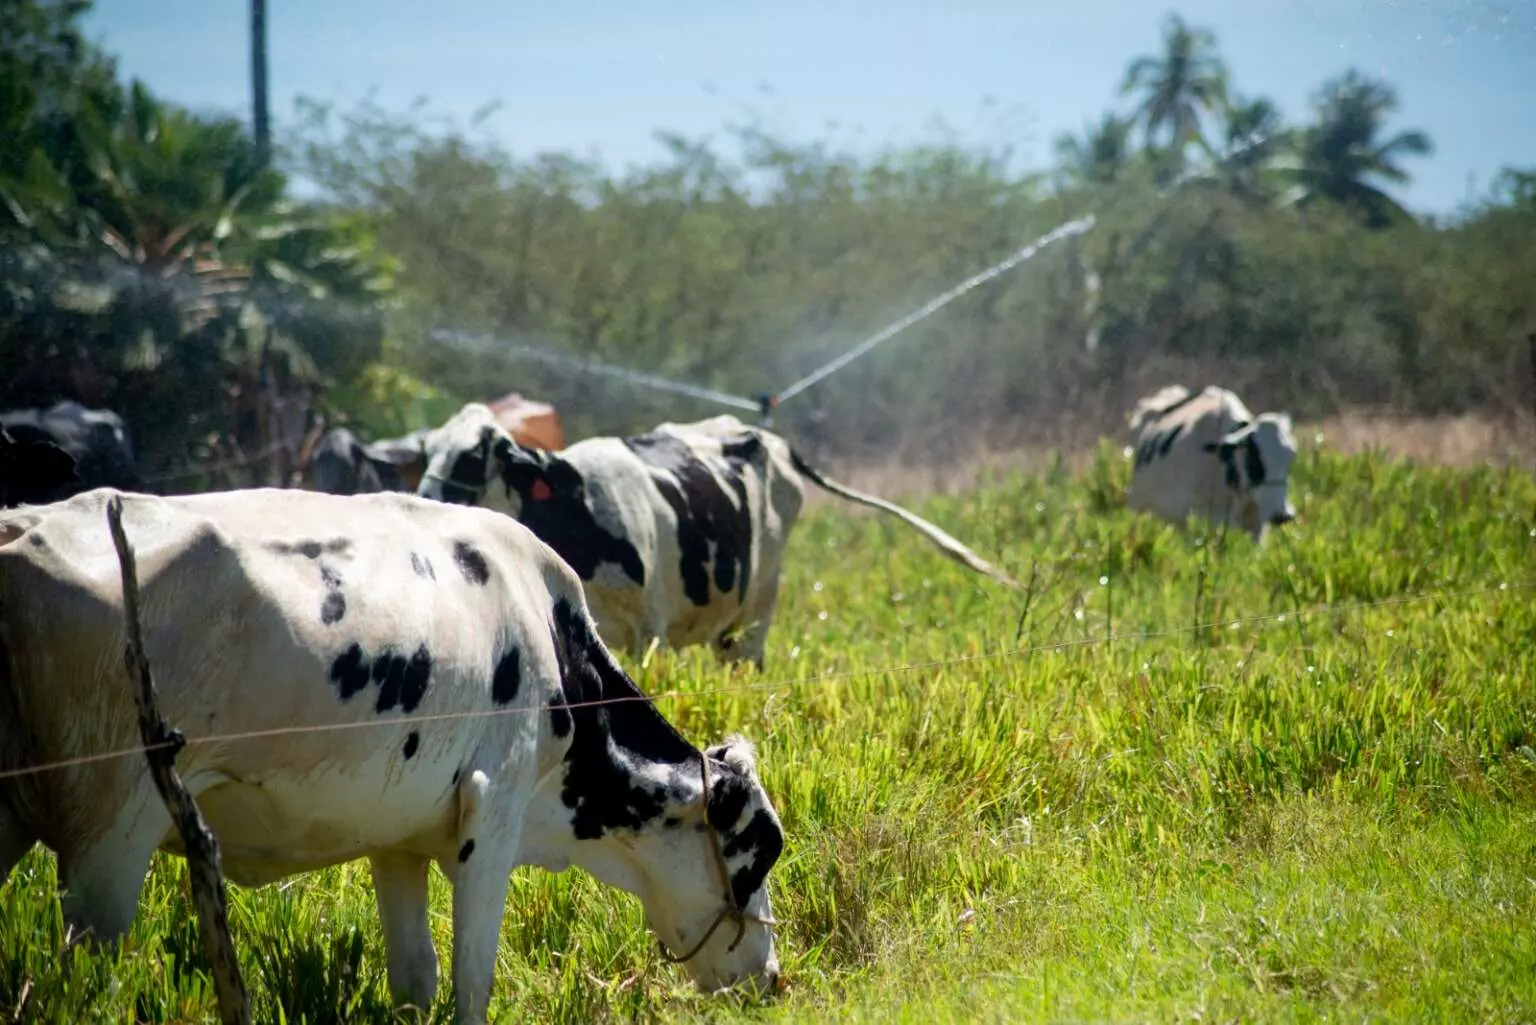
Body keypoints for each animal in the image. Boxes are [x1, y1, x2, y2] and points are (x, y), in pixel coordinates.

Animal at [0, 488, 786, 1025]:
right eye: (757, 856)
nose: (773, 976)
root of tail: (25, 526)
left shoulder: (398, 838)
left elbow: (416, 979)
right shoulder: (494, 810)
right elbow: (470, 984)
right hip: (112, 833)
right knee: (84, 981)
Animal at [1130, 384, 1296, 544]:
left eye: (1291, 456)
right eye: (1254, 456)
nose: (1282, 515)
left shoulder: (1257, 525)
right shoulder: (1201, 518)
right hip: (1138, 506)